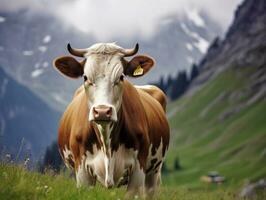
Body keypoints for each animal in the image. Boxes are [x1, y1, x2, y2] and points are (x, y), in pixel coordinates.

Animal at [53, 42, 170, 195]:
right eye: (85, 77)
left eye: (121, 77)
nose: (102, 111)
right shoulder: (82, 172)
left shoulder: (139, 170)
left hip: (154, 172)